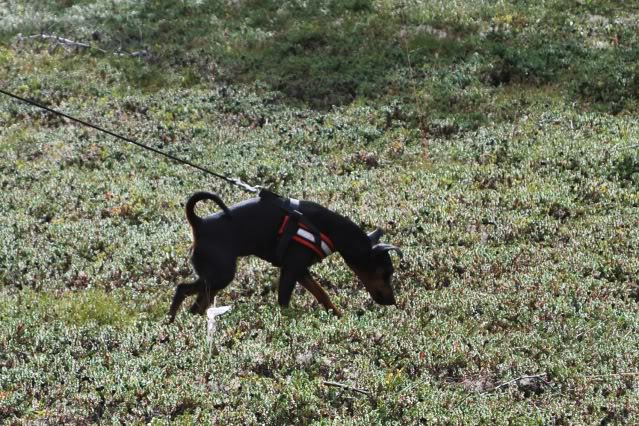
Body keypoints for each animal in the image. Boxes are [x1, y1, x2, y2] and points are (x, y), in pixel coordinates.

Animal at [168, 191, 402, 322]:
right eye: (385, 273)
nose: (392, 302)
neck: (329, 229)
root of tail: (198, 224)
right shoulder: (290, 270)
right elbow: (284, 302)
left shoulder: (301, 271)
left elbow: (322, 294)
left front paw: (338, 316)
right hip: (221, 275)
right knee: (182, 289)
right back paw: (171, 322)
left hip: (215, 279)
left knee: (197, 306)